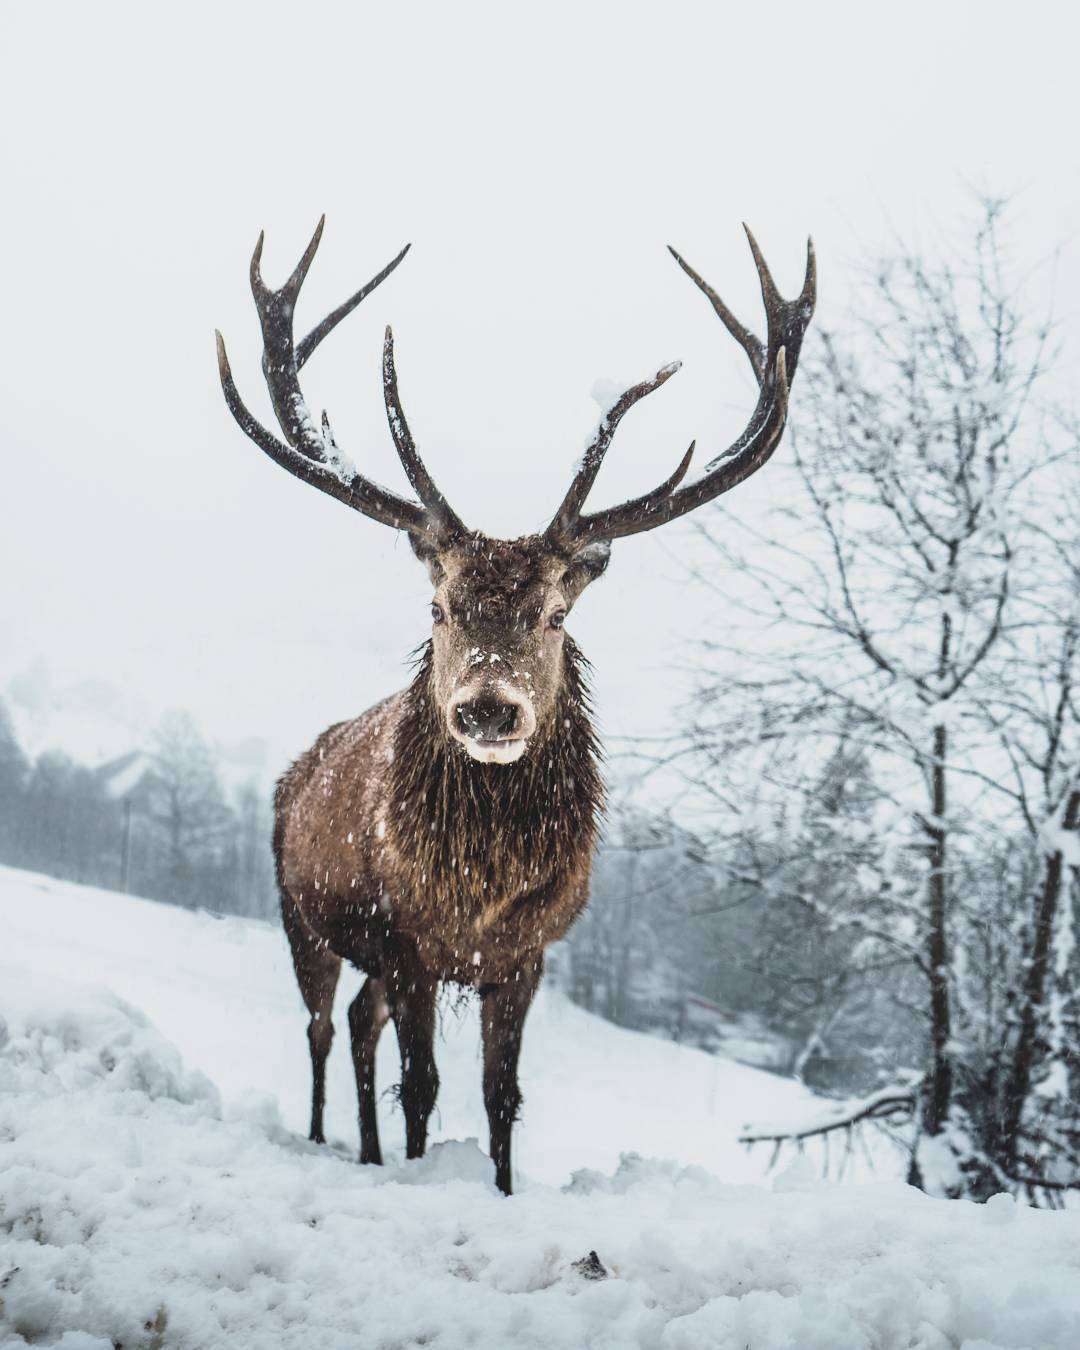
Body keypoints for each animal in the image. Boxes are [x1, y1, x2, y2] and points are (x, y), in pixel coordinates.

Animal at [214, 218, 815, 1193]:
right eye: (437, 606)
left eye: (556, 613)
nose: (488, 711)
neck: (476, 899)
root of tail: (296, 771)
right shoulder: (408, 942)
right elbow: (424, 1086)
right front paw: (420, 1172)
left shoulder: (529, 955)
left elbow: (503, 1096)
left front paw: (493, 1186)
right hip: (301, 913)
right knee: (320, 1025)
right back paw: (324, 1138)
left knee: (357, 1026)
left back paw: (367, 1152)